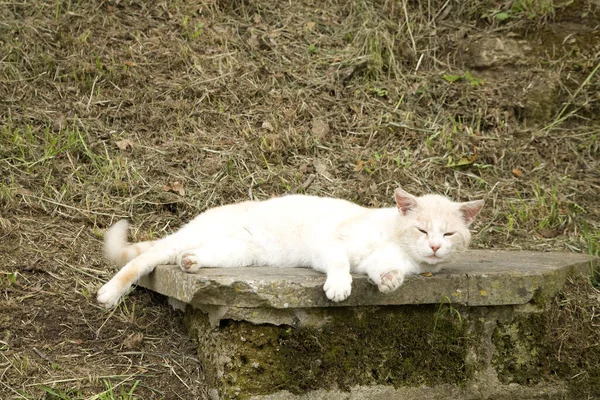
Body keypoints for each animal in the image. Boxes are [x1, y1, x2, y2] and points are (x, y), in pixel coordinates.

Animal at [97, 188, 482, 310]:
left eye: (448, 234)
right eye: (422, 229)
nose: (434, 246)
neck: (393, 239)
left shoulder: (379, 260)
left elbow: (382, 270)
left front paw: (390, 281)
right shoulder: (331, 243)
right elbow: (340, 263)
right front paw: (339, 286)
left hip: (238, 253)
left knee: (188, 256)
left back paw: (191, 262)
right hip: (190, 239)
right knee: (145, 259)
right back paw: (109, 293)